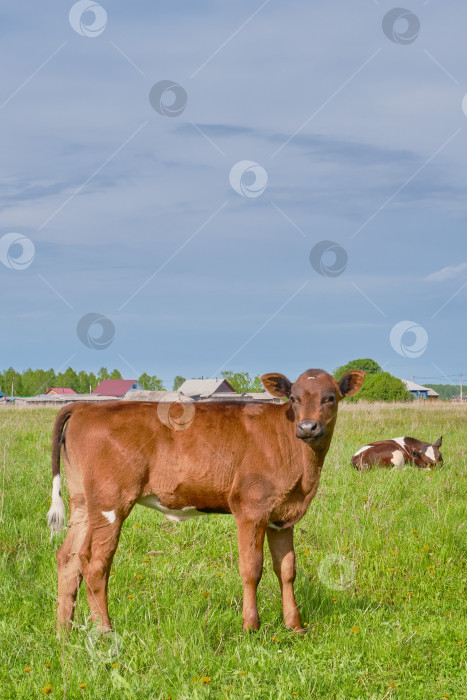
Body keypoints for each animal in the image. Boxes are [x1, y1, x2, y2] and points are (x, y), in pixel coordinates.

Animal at [46, 370, 366, 636]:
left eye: (330, 398)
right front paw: (251, 627)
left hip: (84, 503)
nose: (308, 427)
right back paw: (104, 632)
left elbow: (287, 570)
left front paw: (295, 626)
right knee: (94, 563)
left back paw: (64, 632)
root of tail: (85, 407)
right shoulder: (250, 509)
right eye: (293, 398)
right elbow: (252, 568)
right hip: (110, 501)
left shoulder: (283, 515)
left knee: (68, 559)